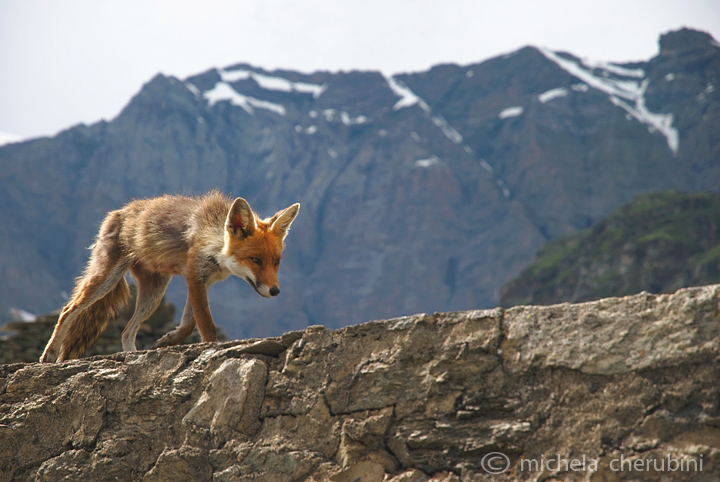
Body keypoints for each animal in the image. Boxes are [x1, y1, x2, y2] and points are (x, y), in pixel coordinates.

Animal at [40, 191, 298, 362]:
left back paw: (133, 354)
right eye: (255, 260)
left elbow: (188, 324)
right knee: (68, 310)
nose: (275, 291)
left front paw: (166, 340)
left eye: (276, 262)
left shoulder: (200, 282)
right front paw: (212, 347)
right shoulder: (196, 277)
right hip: (106, 279)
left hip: (154, 293)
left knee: (126, 331)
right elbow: (206, 325)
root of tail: (117, 212)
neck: (214, 243)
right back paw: (50, 353)